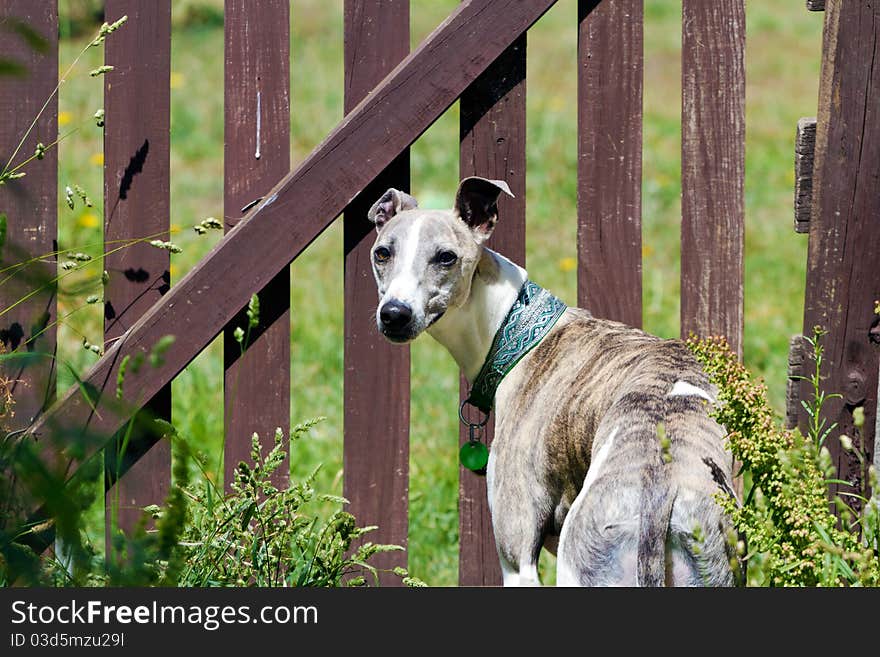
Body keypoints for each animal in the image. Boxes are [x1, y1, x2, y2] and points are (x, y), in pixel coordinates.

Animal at [368, 177, 740, 588]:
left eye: (446, 257)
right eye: (382, 253)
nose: (395, 314)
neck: (516, 328)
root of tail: (659, 488)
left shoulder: (518, 561)